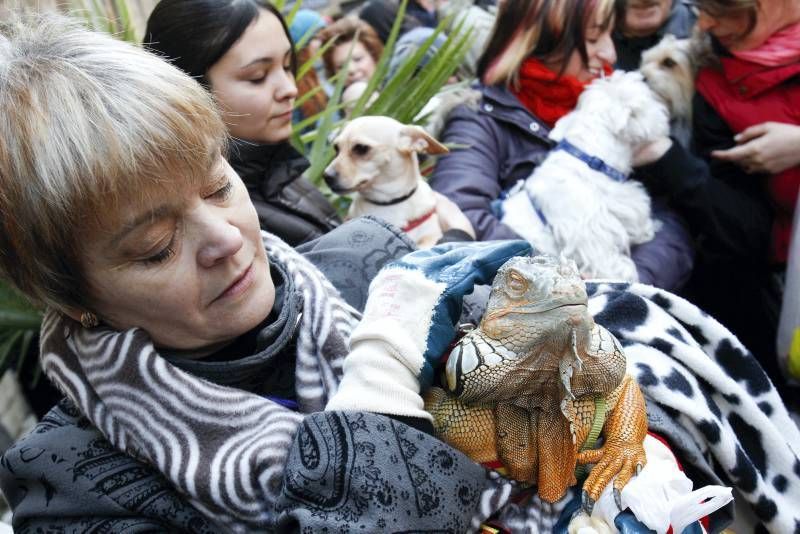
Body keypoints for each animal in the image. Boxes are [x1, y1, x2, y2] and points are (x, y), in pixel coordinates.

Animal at [504, 70, 672, 284]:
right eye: (648, 101)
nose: (666, 112)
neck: (591, 159)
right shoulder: (589, 230)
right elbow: (607, 259)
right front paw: (626, 274)